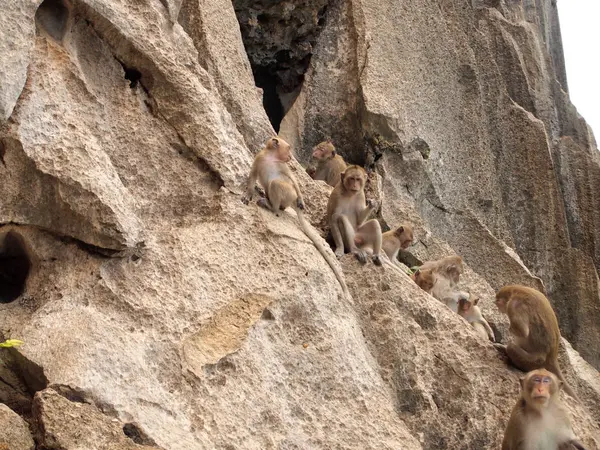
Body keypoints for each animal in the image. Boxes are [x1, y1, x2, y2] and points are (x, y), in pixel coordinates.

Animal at [241, 139, 350, 298]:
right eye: (288, 149)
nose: (290, 156)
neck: (270, 157)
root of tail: (290, 202)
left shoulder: (283, 165)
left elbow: (293, 179)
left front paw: (301, 200)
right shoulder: (259, 158)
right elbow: (253, 175)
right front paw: (248, 193)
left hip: (288, 194)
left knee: (276, 184)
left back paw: (272, 207)